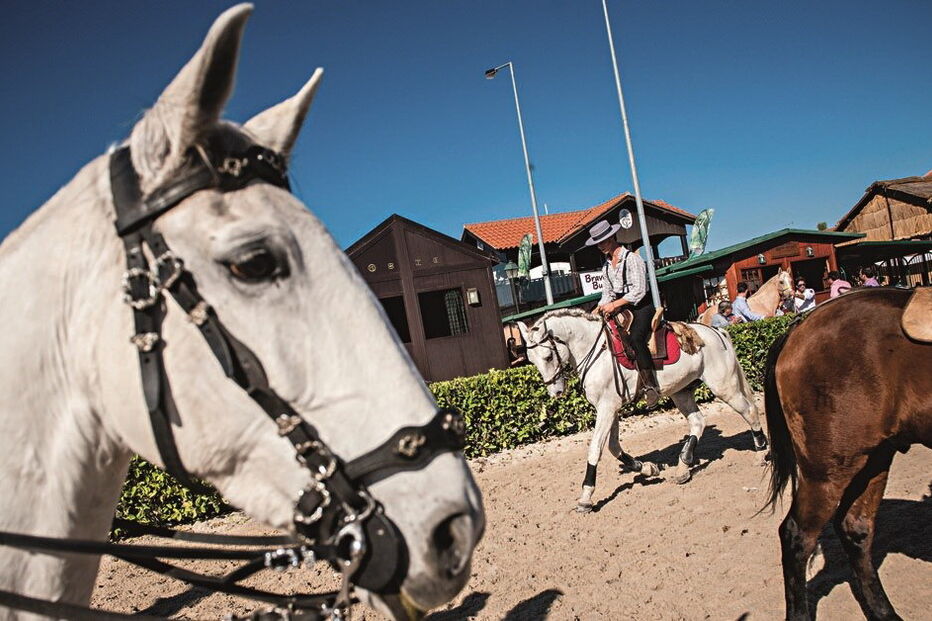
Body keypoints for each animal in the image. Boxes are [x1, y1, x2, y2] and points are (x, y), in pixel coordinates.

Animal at [516, 310, 768, 512]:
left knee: (749, 412)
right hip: (681, 391)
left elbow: (596, 448)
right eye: (532, 361)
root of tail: (716, 332)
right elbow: (613, 446)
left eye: (548, 356)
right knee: (698, 421)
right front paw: (646, 468)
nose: (556, 392)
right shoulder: (610, 407)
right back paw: (683, 466)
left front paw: (586, 496)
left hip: (724, 386)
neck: (596, 351)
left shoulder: (607, 407)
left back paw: (761, 453)